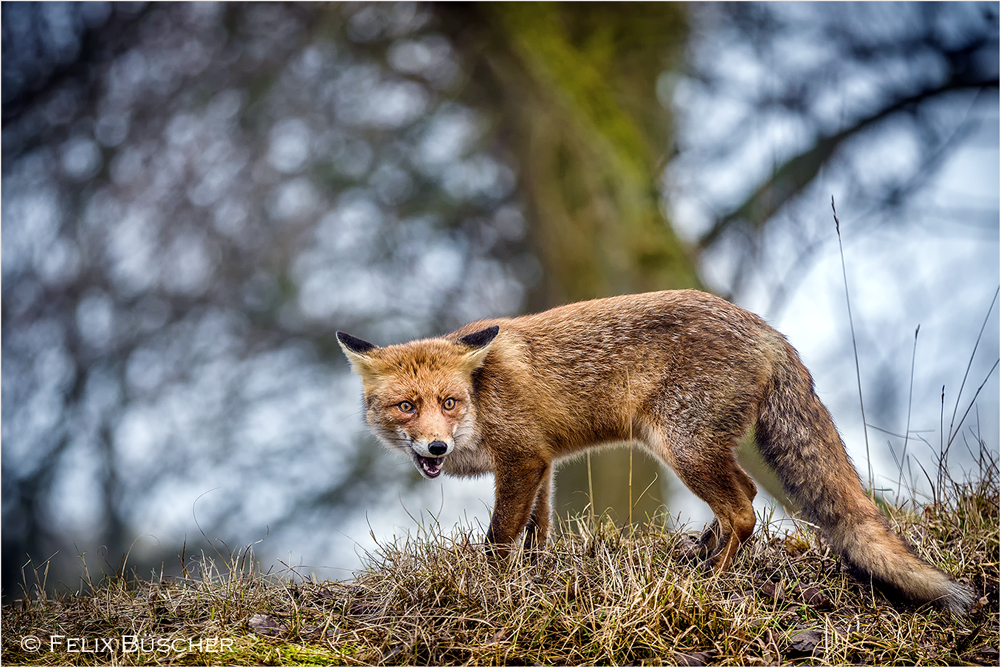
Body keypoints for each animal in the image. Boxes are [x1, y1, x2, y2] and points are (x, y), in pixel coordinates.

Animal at [338, 290, 976, 612]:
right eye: (406, 407)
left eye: (448, 402)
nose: (435, 445)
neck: (481, 398)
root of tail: (766, 327)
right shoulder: (542, 462)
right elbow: (538, 531)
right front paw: (536, 575)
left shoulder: (521, 459)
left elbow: (500, 538)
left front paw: (491, 588)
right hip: (695, 448)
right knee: (744, 497)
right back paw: (701, 554)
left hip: (683, 448)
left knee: (744, 508)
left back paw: (712, 579)